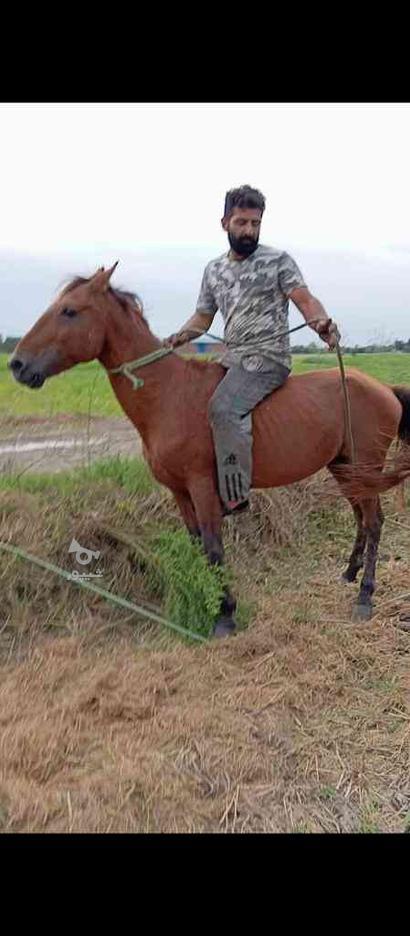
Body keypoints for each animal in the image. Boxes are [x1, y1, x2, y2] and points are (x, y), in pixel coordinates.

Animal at [8, 266, 410, 640]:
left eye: (69, 311)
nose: (16, 364)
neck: (169, 394)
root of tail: (384, 388)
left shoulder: (203, 487)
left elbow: (215, 548)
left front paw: (224, 615)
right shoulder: (179, 493)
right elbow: (198, 546)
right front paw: (209, 603)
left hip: (364, 466)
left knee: (374, 522)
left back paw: (365, 595)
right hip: (345, 468)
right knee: (361, 518)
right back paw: (349, 573)